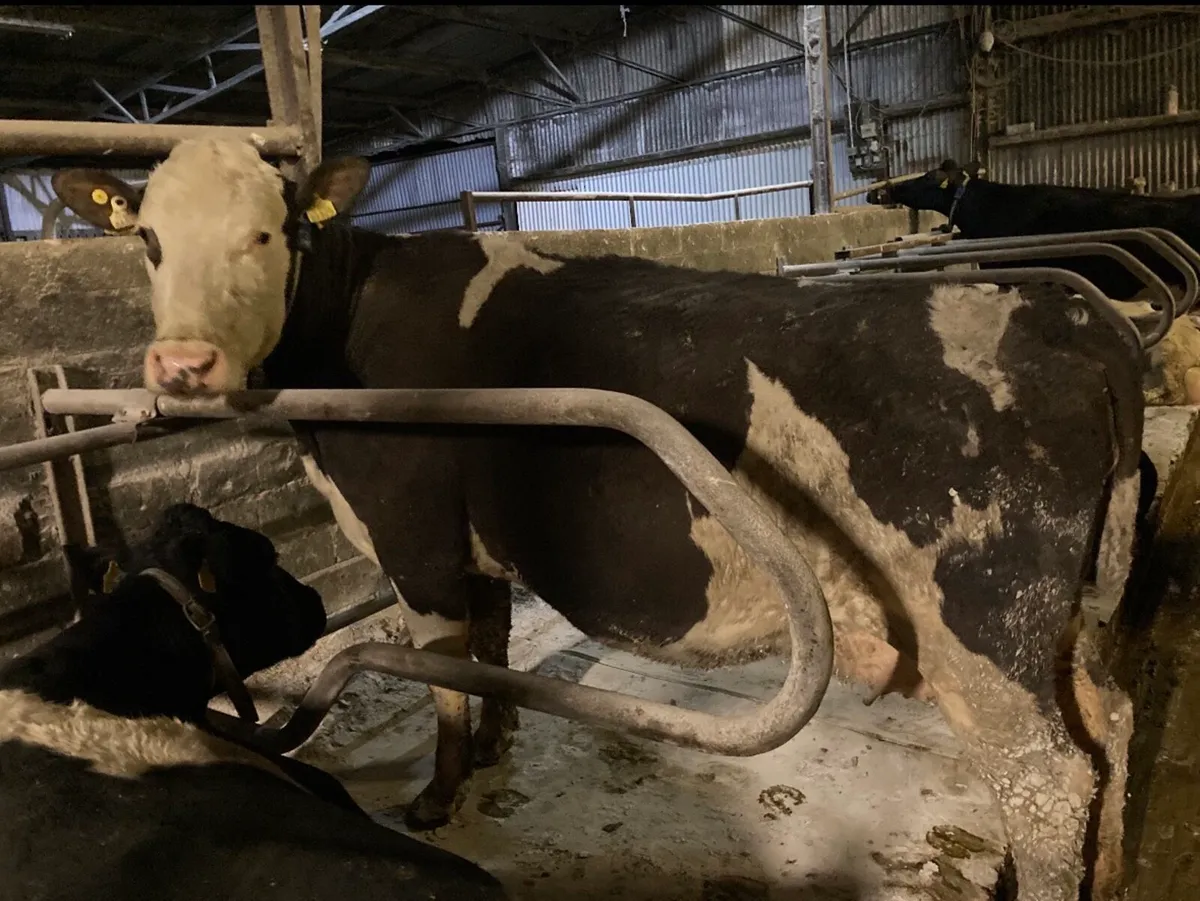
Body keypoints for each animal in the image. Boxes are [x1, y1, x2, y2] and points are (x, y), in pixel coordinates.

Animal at [52, 138, 1149, 901]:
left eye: (268, 233)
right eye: (147, 239)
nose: (183, 365)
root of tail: (1060, 318)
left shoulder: (414, 543)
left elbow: (440, 671)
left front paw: (438, 797)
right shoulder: (477, 547)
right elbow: (489, 647)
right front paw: (497, 745)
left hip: (984, 621)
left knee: (1049, 782)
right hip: (1051, 625)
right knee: (1110, 729)